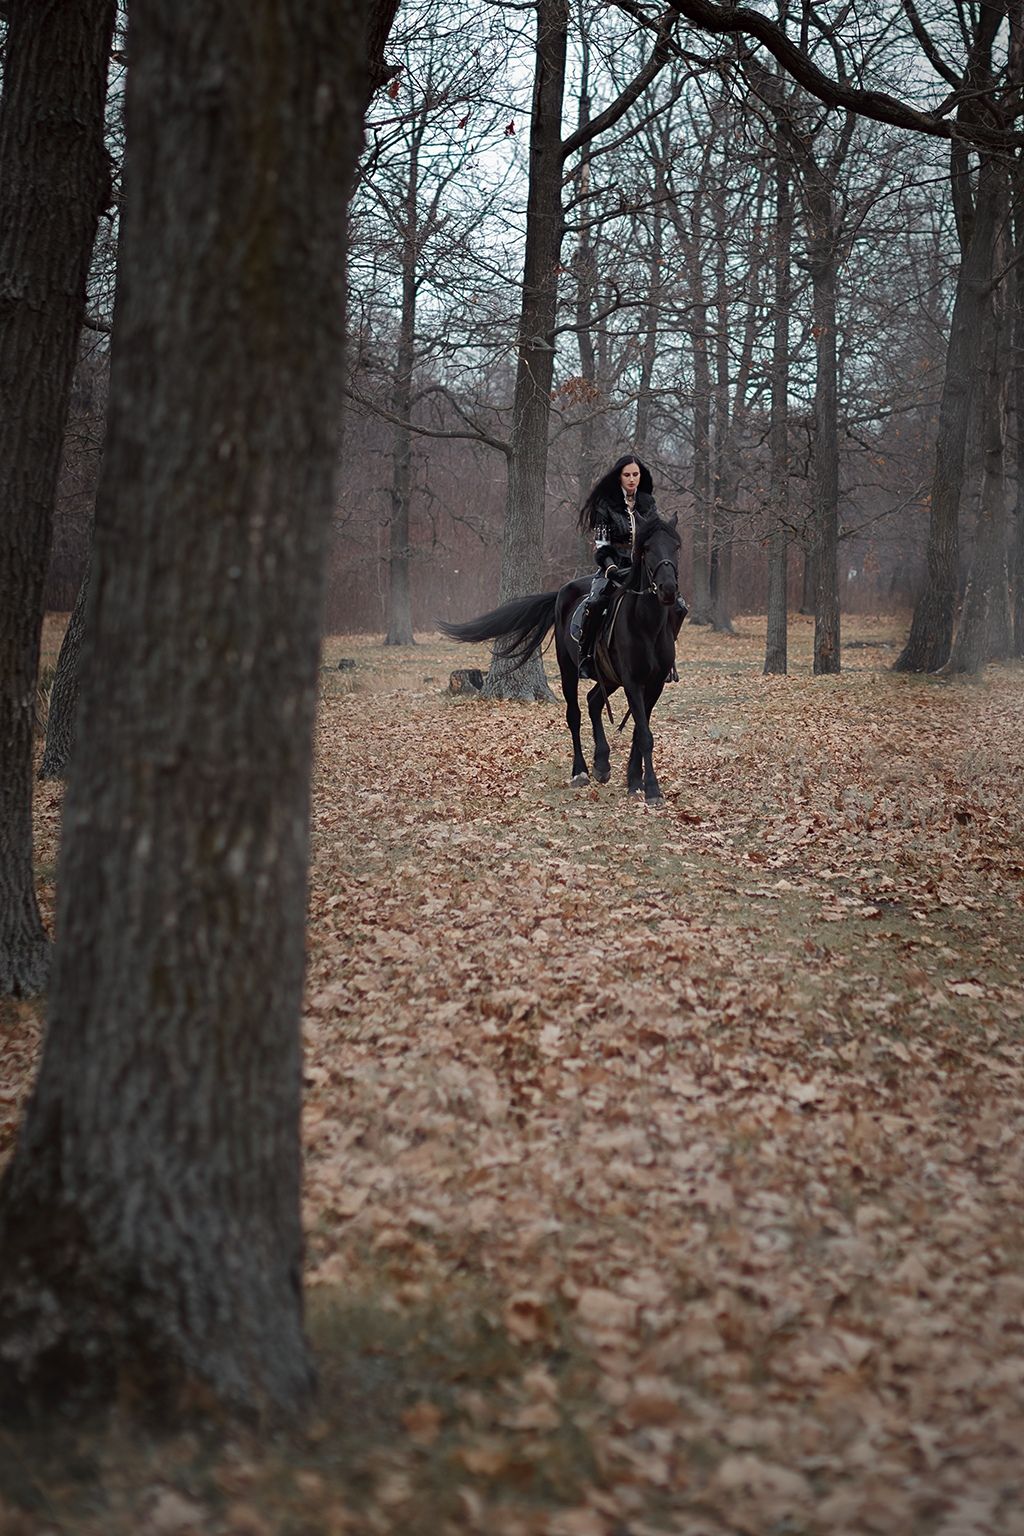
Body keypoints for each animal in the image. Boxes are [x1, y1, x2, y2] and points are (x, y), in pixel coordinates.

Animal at [439, 513, 684, 804]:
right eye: (646, 549)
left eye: (676, 547)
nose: (668, 590)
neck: (647, 625)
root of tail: (561, 593)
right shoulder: (633, 682)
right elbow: (644, 734)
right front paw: (652, 790)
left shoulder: (654, 683)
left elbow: (640, 730)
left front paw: (635, 781)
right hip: (570, 670)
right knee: (574, 714)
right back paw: (581, 772)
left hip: (609, 677)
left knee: (593, 701)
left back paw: (602, 764)